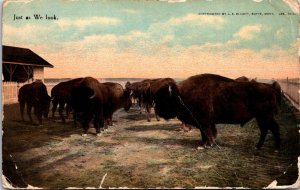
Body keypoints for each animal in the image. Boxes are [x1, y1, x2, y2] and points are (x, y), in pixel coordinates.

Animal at [152, 73, 282, 151]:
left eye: (164, 98)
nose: (157, 110)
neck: (180, 94)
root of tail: (271, 87)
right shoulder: (207, 122)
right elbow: (208, 133)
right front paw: (207, 144)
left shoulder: (203, 122)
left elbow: (207, 133)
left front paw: (206, 145)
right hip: (263, 117)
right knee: (268, 129)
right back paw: (261, 147)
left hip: (264, 116)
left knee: (270, 129)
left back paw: (271, 148)